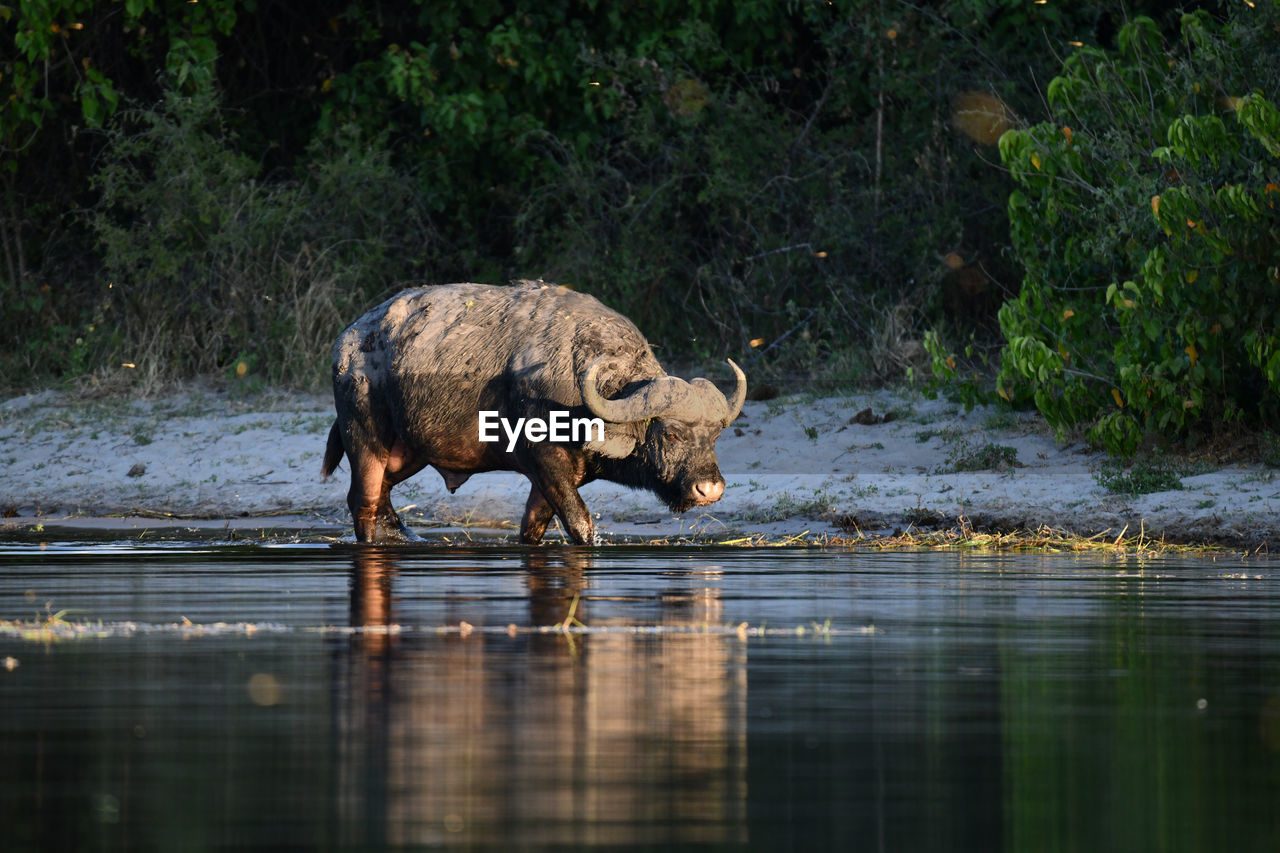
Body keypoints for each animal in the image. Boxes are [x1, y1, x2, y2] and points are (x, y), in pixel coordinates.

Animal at [322, 281, 747, 540]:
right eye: (671, 433)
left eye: (714, 436)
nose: (709, 488)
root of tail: (348, 341)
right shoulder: (546, 463)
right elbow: (580, 523)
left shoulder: (554, 479)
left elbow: (532, 527)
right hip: (365, 440)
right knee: (364, 503)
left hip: (408, 452)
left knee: (381, 498)